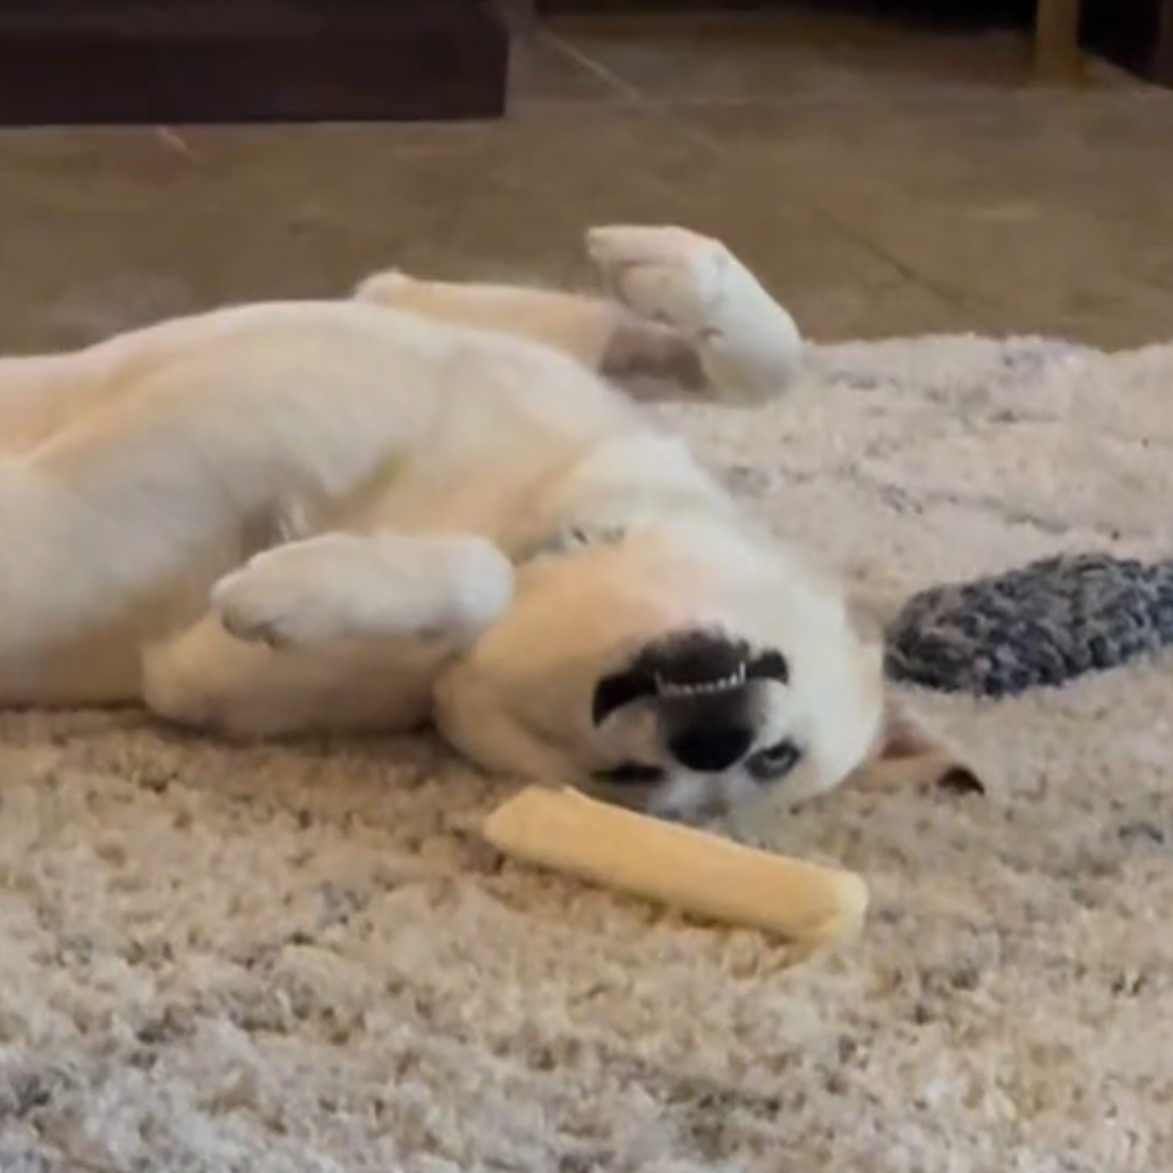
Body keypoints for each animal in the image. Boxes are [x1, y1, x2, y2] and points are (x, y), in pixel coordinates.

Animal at [0, 224, 975, 821]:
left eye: (627, 778)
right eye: (774, 758)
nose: (715, 741)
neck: (525, 511)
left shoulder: (191, 670)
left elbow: (473, 578)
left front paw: (296, 586)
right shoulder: (442, 319)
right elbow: (769, 360)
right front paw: (659, 263)